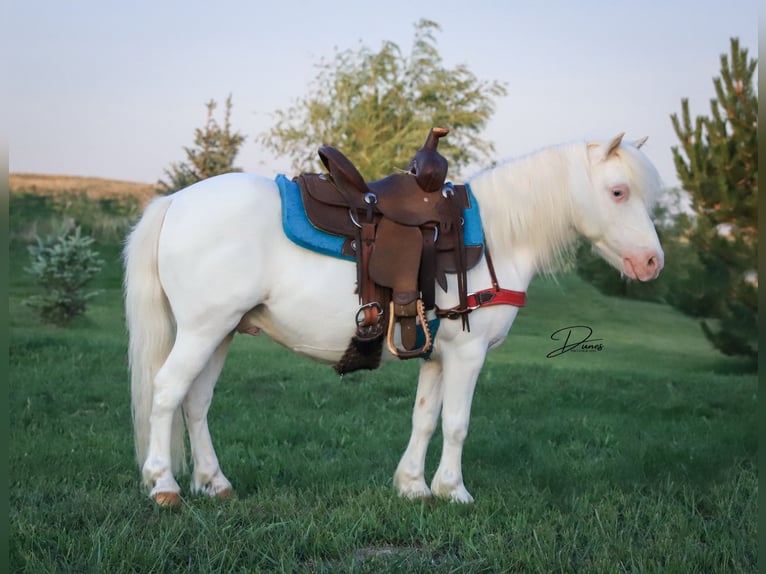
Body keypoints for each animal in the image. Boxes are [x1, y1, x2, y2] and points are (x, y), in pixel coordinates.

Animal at [124, 132, 664, 506]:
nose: (653, 262)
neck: (495, 236)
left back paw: (213, 482)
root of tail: (175, 201)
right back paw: (164, 484)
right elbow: (457, 423)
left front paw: (412, 486)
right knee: (167, 391)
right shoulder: (468, 355)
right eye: (618, 192)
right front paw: (453, 491)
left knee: (196, 402)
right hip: (202, 330)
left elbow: (425, 418)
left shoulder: (438, 355)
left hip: (221, 332)